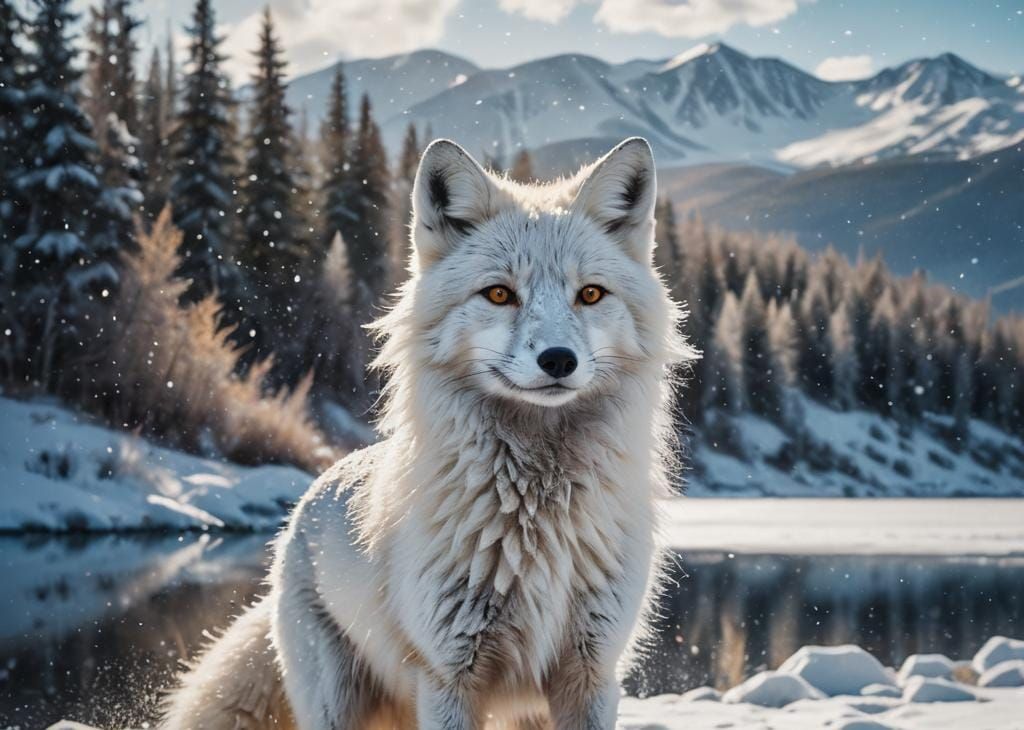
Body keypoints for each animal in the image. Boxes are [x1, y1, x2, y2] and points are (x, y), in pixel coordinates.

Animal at [162, 136, 694, 730]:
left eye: (591, 294)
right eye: (499, 295)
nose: (559, 360)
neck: (537, 517)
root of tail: (310, 497)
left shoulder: (591, 673)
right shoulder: (447, 677)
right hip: (336, 704)